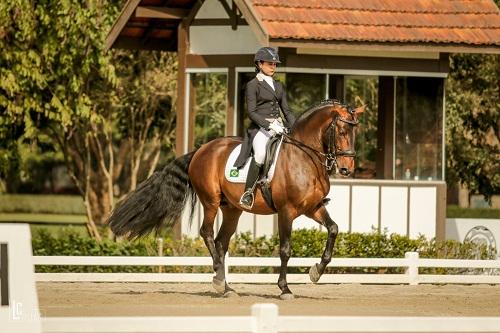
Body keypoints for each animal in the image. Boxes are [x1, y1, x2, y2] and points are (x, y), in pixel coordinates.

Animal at [108, 99, 364, 298]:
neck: (304, 157)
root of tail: (201, 150)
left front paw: (316, 272)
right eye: (342, 132)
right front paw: (284, 289)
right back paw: (219, 280)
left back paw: (227, 286)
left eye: (355, 133)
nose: (346, 169)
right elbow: (285, 250)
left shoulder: (313, 208)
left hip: (232, 209)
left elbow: (333, 229)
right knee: (207, 233)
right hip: (210, 202)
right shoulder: (286, 211)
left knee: (221, 242)